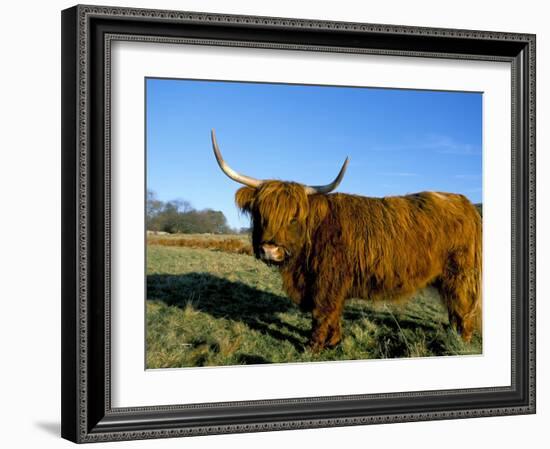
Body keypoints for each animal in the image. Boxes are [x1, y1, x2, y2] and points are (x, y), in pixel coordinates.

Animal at [211, 129, 484, 350]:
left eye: (293, 218)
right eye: (260, 214)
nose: (269, 249)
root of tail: (465, 203)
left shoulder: (327, 284)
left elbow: (322, 314)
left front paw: (313, 346)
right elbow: (333, 315)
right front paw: (333, 342)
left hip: (460, 275)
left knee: (464, 308)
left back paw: (461, 341)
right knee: (454, 309)